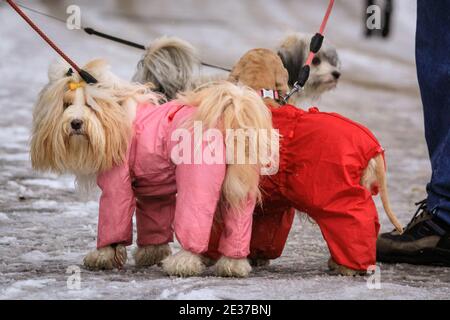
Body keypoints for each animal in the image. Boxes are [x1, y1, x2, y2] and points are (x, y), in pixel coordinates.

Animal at [30, 53, 274, 276]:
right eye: (66, 104)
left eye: (91, 105)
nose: (76, 123)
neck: (115, 118)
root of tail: (229, 110)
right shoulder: (154, 190)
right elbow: (153, 220)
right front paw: (151, 253)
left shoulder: (116, 185)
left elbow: (112, 222)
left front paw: (102, 256)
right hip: (239, 186)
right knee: (238, 223)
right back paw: (234, 265)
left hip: (197, 181)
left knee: (194, 222)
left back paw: (183, 263)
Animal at [206, 48, 402, 276]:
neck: (261, 94)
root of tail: (371, 145)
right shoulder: (274, 201)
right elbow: (267, 226)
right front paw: (257, 256)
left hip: (335, 189)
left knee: (353, 219)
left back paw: (348, 266)